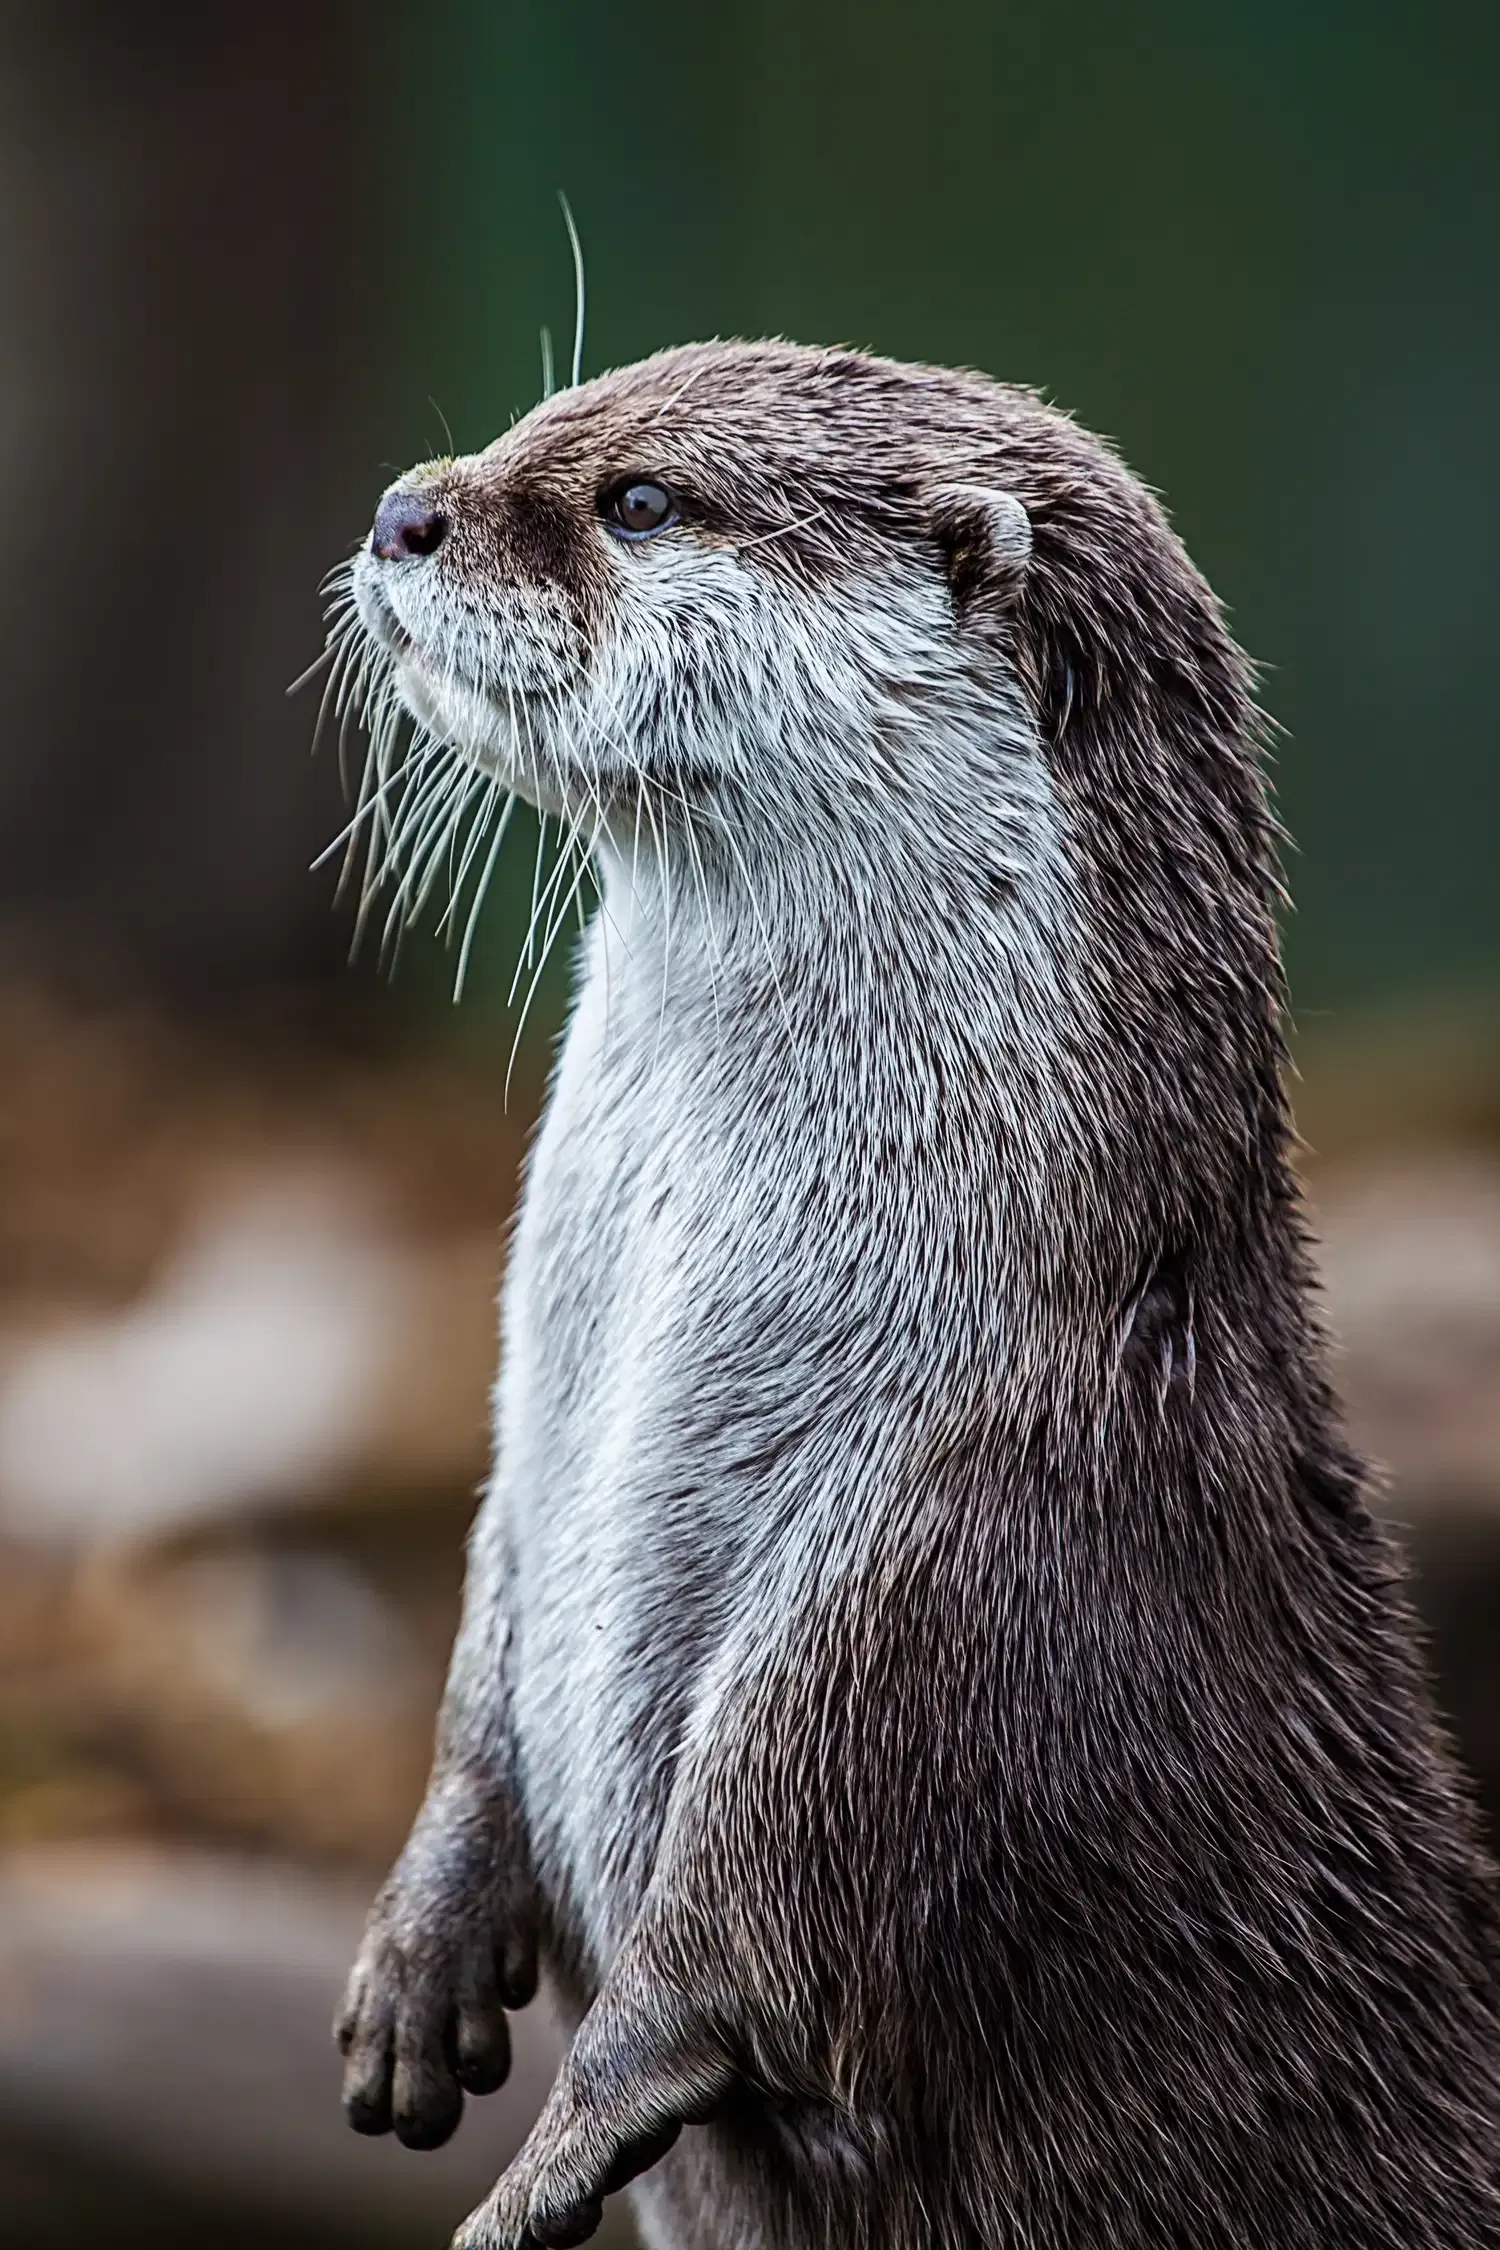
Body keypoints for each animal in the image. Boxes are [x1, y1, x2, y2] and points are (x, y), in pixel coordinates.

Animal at [331, 342, 1500, 2250]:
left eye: (640, 499)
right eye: (544, 419)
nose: (403, 509)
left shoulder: (927, 1575)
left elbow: (730, 1948)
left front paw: (541, 2169)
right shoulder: (525, 1460)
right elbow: (483, 1656)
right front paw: (414, 1971)